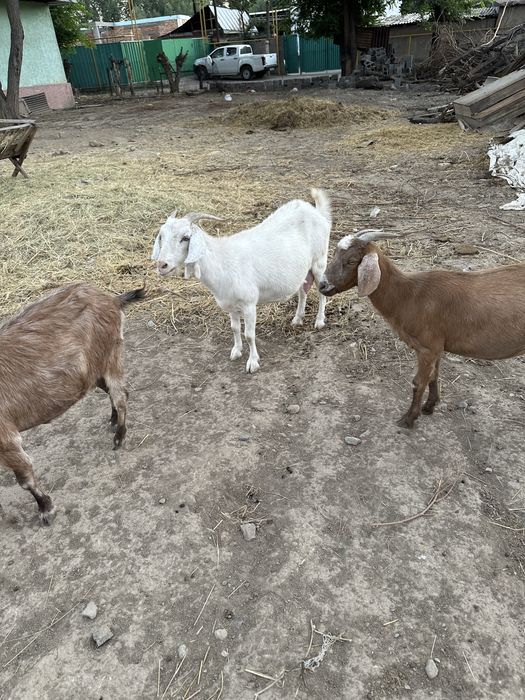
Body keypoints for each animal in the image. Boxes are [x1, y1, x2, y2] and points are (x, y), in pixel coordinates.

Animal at [0, 283, 145, 524]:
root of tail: (112, 300)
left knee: (121, 395)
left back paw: (119, 436)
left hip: (110, 355)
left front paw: (46, 508)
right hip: (94, 370)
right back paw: (113, 420)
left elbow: (25, 479)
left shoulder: (6, 439)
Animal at [152, 189, 332, 372]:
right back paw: (297, 319)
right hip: (303, 269)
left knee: (321, 291)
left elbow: (249, 335)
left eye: (186, 238)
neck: (222, 262)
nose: (162, 265)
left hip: (319, 261)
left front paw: (253, 362)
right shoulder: (230, 304)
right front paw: (236, 351)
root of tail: (316, 211)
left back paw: (319, 321)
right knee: (303, 291)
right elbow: (235, 328)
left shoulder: (249, 304)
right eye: (161, 236)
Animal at [319, 229, 525, 428]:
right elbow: (434, 375)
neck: (409, 295)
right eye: (335, 254)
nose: (322, 285)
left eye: (352, 261)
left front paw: (409, 419)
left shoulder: (427, 347)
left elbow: (418, 382)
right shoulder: (437, 347)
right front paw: (429, 406)